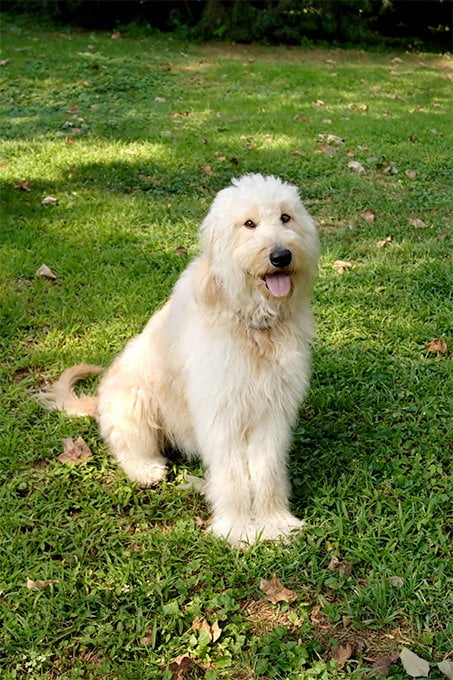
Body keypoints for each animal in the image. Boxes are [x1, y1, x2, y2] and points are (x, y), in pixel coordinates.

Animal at [40, 175, 320, 548]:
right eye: (249, 223)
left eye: (285, 217)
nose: (281, 256)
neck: (252, 324)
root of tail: (97, 404)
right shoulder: (220, 412)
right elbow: (232, 474)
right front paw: (237, 529)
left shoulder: (271, 411)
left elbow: (267, 470)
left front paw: (275, 522)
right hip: (134, 399)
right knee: (128, 447)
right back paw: (146, 469)